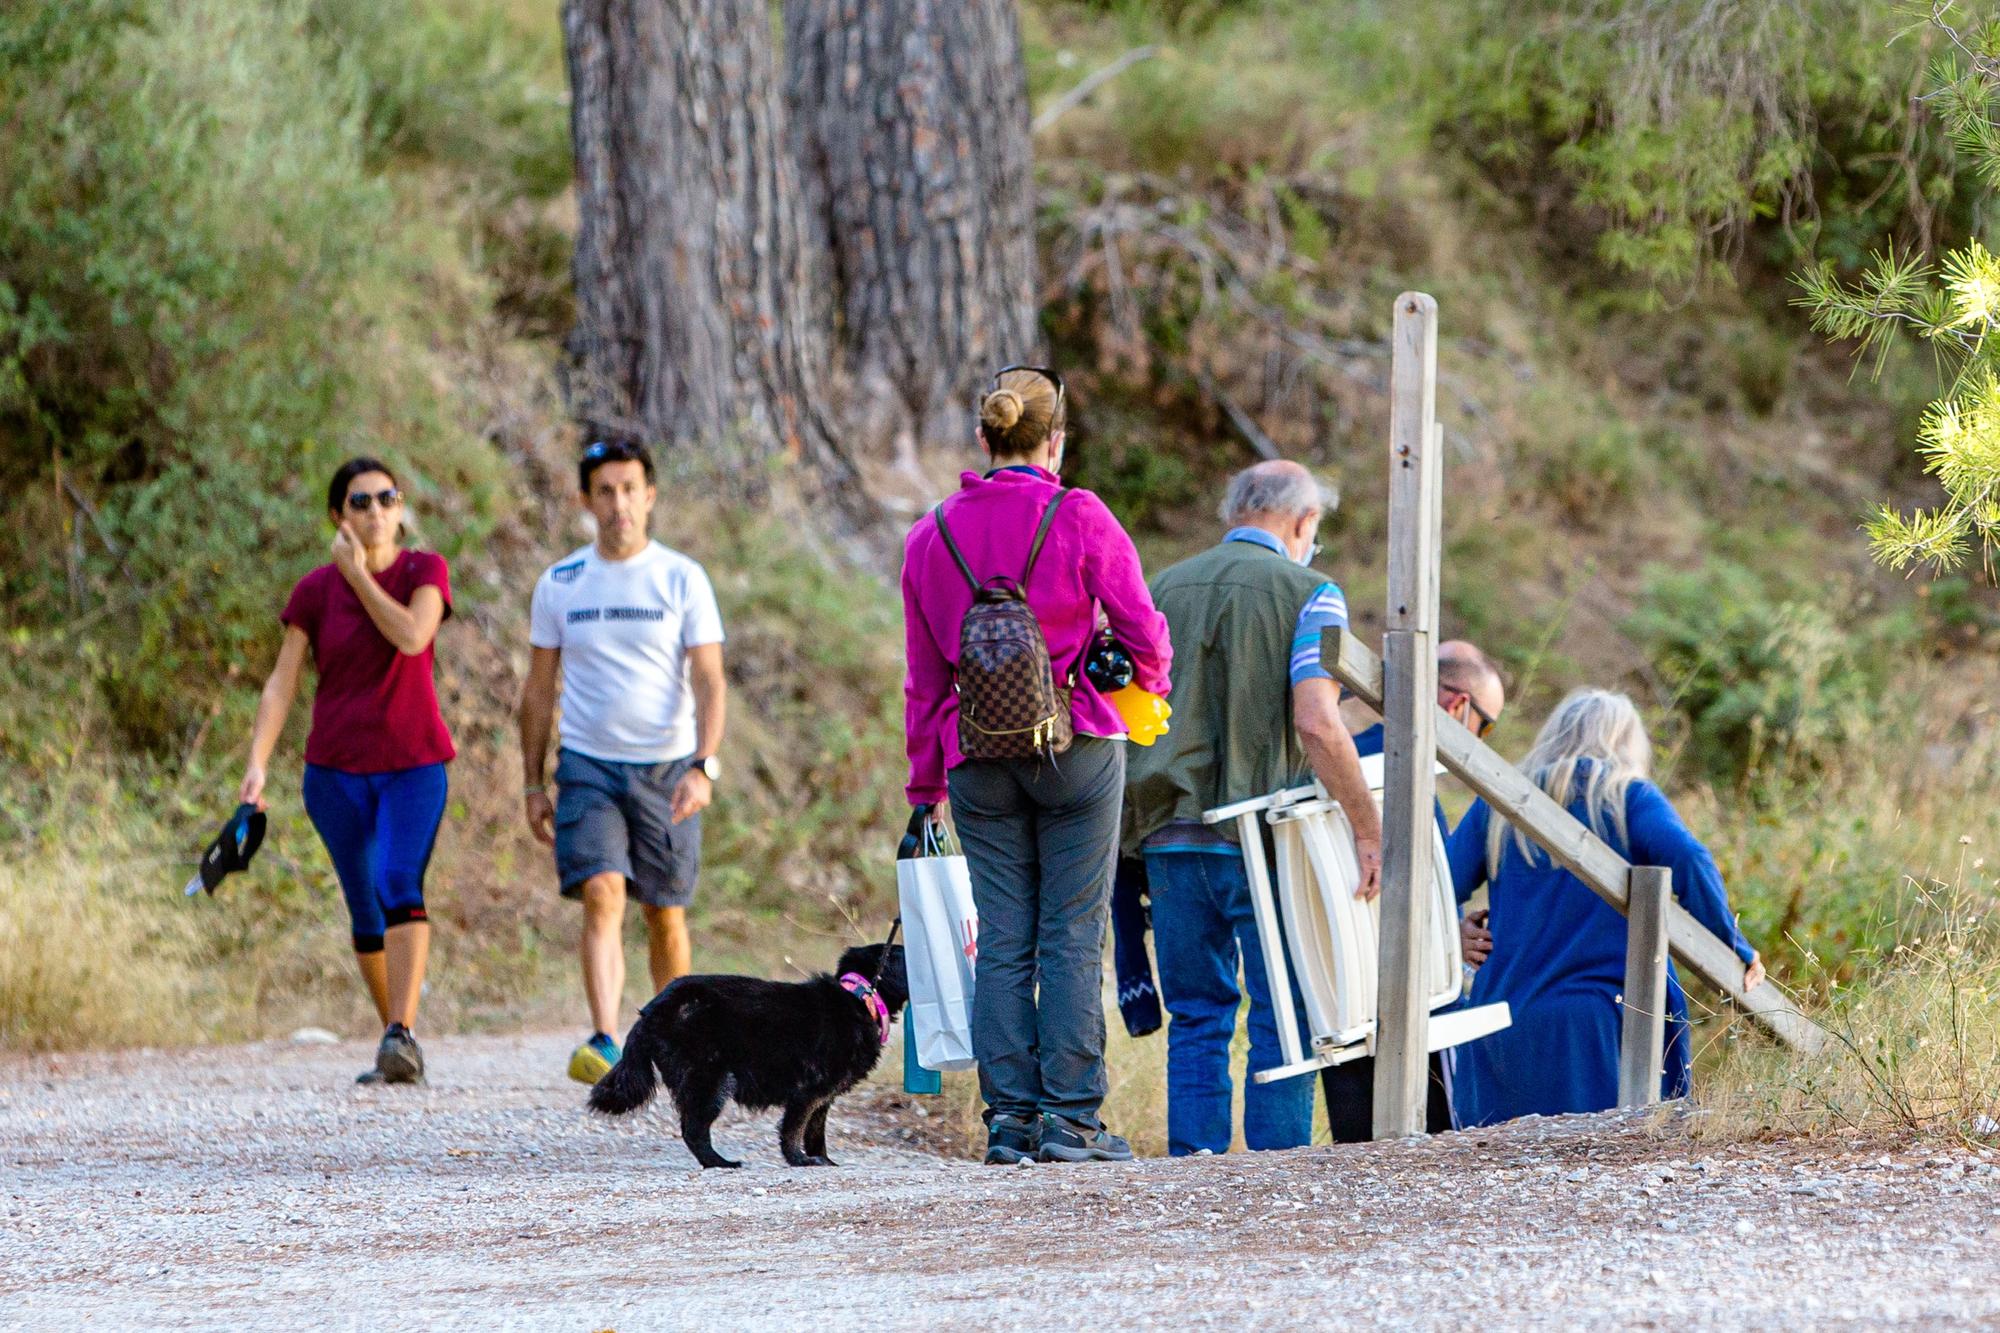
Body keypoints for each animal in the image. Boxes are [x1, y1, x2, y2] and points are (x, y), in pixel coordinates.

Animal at [588, 932, 912, 1160]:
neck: (861, 997)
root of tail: (651, 1010)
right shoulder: (808, 1091)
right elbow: (794, 1130)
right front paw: (800, 1161)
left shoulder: (824, 1096)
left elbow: (815, 1134)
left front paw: (825, 1162)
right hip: (710, 1078)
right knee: (693, 1130)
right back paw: (721, 1164)